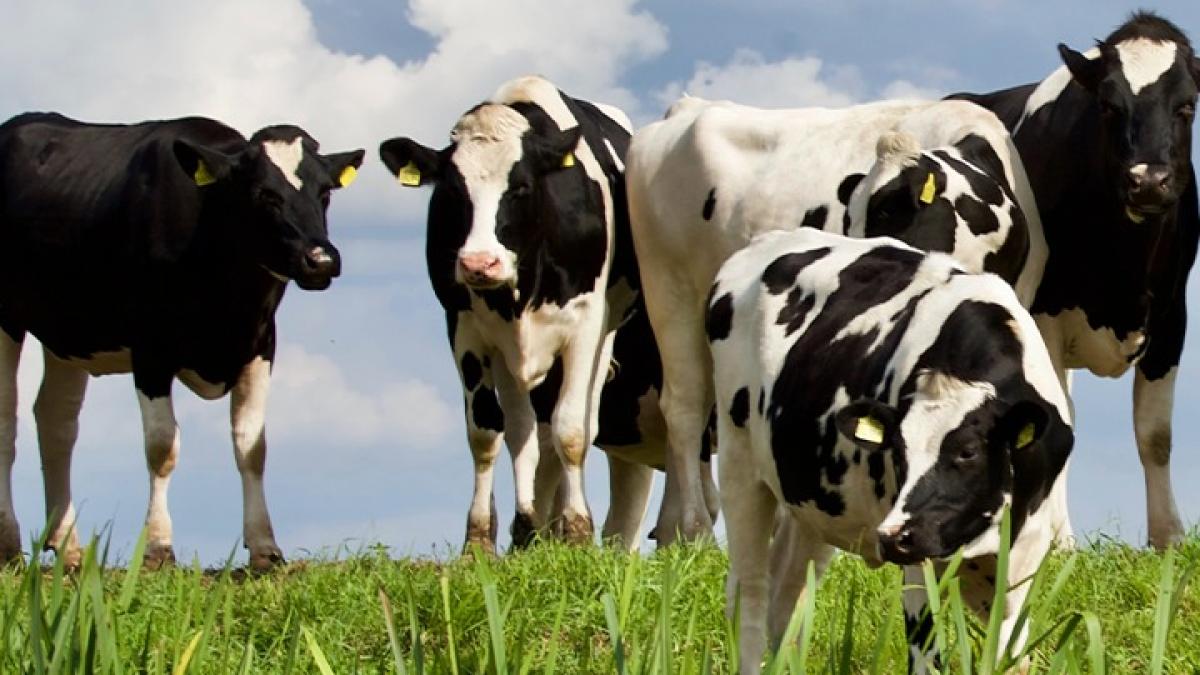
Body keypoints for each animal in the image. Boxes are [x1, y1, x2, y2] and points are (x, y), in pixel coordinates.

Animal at [0, 112, 364, 570]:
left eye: (325, 193)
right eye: (264, 194)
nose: (321, 260)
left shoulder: (261, 343)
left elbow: (252, 445)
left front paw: (264, 546)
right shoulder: (151, 348)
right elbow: (162, 446)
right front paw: (158, 546)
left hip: (68, 334)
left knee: (56, 421)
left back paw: (68, 546)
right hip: (6, 322)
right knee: (6, 422)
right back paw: (9, 542)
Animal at [379, 75, 645, 552]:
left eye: (520, 186)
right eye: (452, 190)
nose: (479, 263)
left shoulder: (584, 325)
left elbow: (572, 430)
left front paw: (578, 530)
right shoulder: (464, 329)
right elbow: (486, 433)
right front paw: (479, 539)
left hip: (604, 335)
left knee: (576, 422)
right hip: (506, 355)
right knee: (525, 430)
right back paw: (529, 526)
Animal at [625, 95, 1046, 545]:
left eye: (887, 208)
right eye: (849, 216)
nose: (860, 263)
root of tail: (690, 106)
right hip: (670, 290)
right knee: (685, 408)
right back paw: (694, 528)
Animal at [710, 228, 1073, 674]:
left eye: (968, 452)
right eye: (897, 452)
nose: (894, 536)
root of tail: (769, 239)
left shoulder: (1022, 563)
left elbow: (1010, 655)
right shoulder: (919, 563)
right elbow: (926, 655)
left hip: (813, 503)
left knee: (786, 596)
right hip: (738, 462)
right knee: (750, 594)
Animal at [950, 11, 1200, 550]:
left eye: (1187, 105)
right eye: (1108, 104)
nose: (1148, 182)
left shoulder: (1173, 316)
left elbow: (1156, 435)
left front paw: (1168, 537)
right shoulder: (1044, 314)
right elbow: (1056, 418)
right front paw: (1059, 540)